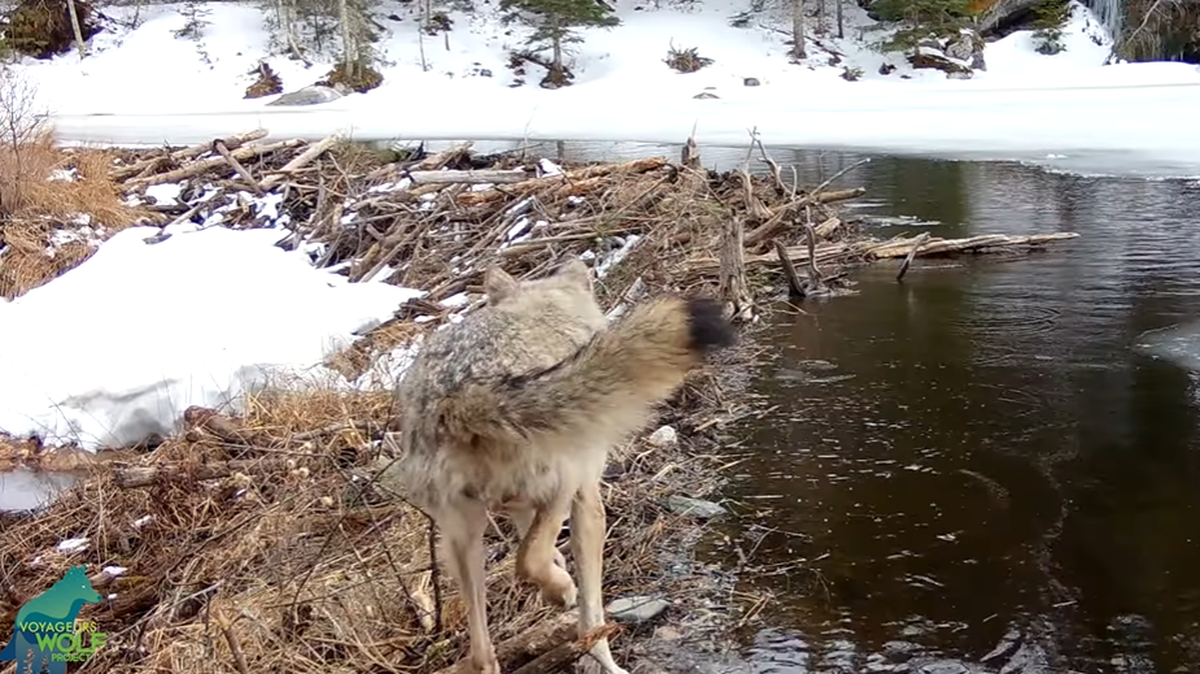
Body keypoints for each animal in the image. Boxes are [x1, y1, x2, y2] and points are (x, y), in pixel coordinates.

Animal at [373, 258, 736, 674]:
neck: (545, 311)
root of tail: (458, 392)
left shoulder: (517, 505)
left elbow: (530, 539)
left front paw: (558, 566)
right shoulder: (587, 502)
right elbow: (588, 609)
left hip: (463, 539)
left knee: (483, 652)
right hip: (562, 484)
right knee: (537, 573)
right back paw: (564, 594)